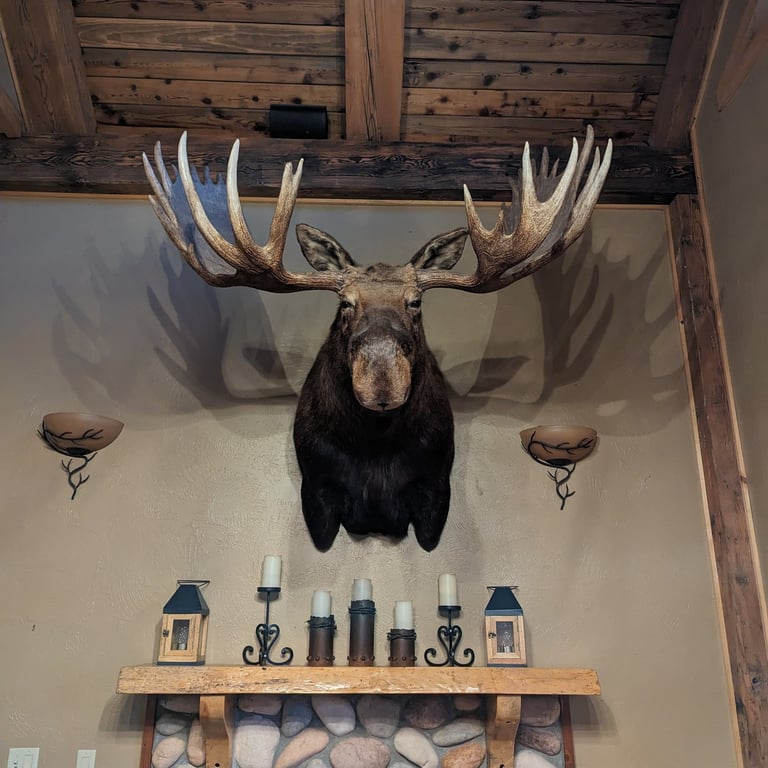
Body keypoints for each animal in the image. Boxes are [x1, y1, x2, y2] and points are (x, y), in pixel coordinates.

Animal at [143, 128, 611, 552]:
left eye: (416, 302)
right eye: (345, 304)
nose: (382, 380)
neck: (375, 445)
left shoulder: (436, 490)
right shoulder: (316, 491)